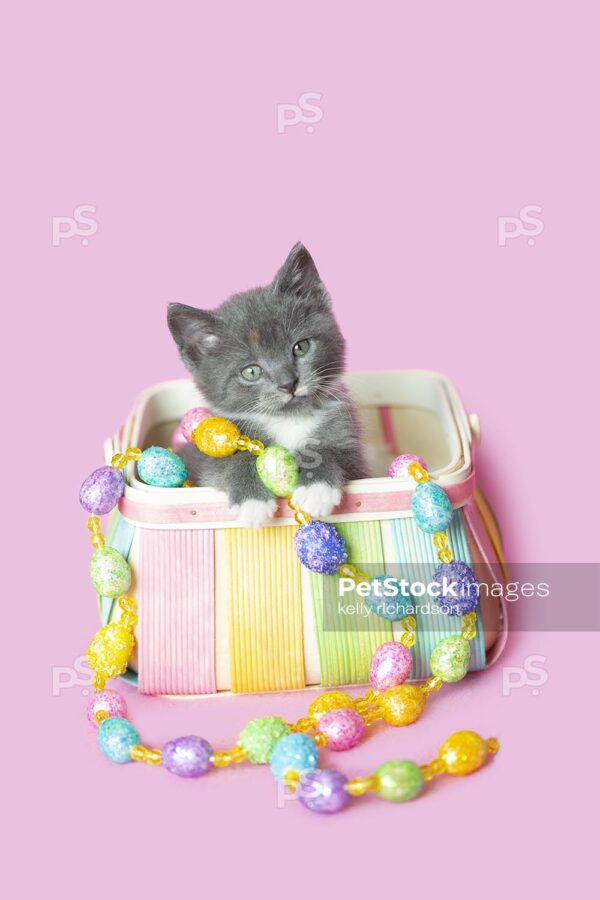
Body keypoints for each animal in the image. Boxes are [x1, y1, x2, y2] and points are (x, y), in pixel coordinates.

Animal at [166, 244, 368, 528]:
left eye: (301, 347)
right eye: (251, 371)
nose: (289, 383)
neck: (289, 420)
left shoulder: (356, 456)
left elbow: (336, 453)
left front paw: (317, 488)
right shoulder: (205, 463)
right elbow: (229, 463)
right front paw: (252, 502)